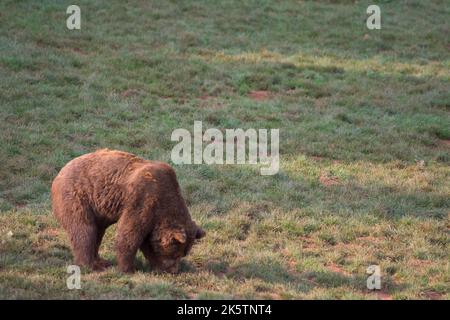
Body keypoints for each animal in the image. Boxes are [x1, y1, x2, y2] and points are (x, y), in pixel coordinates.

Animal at [51, 149, 204, 272]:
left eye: (184, 253)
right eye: (176, 253)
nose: (174, 270)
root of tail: (59, 173)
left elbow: (147, 242)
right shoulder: (143, 199)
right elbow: (129, 234)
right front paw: (128, 268)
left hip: (98, 210)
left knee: (98, 231)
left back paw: (101, 261)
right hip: (78, 197)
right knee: (84, 230)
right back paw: (90, 265)